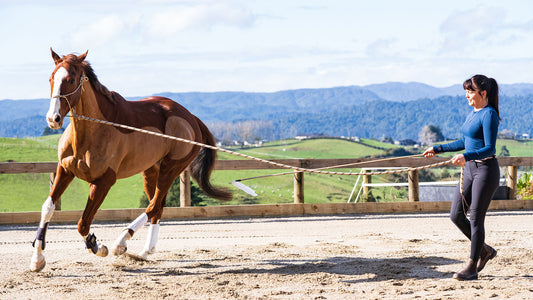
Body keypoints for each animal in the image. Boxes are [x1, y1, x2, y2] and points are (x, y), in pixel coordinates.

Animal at [30, 49, 231, 272]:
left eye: (71, 79)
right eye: (51, 78)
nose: (53, 119)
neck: (91, 132)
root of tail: (191, 118)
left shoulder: (104, 181)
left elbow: (83, 223)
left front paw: (98, 247)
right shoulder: (65, 171)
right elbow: (48, 208)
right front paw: (37, 259)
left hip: (170, 169)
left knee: (154, 206)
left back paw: (121, 243)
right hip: (151, 171)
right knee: (157, 206)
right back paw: (144, 253)